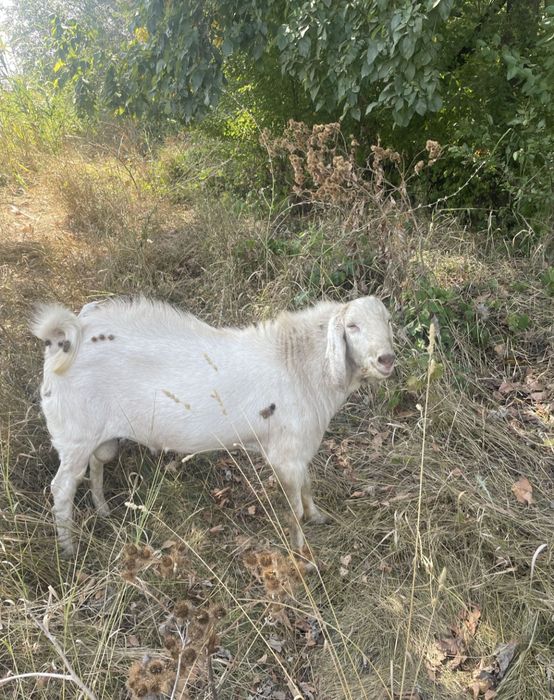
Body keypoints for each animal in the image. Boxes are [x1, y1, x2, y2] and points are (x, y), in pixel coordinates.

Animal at [32, 296, 395, 557]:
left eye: (388, 320)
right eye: (352, 326)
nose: (386, 359)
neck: (299, 365)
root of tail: (66, 335)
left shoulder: (300, 449)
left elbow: (306, 487)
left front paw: (317, 516)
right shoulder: (286, 454)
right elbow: (293, 506)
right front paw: (301, 550)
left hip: (99, 437)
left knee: (96, 464)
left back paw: (103, 510)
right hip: (74, 434)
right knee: (62, 488)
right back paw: (69, 548)